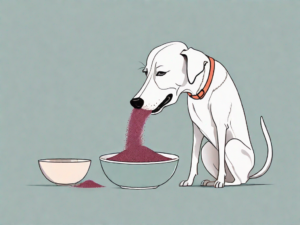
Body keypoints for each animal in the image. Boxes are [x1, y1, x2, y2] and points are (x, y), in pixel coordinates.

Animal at [130, 41, 274, 187]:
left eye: (161, 73)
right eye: (145, 73)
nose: (135, 102)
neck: (201, 90)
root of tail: (250, 173)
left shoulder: (221, 126)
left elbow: (220, 159)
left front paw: (219, 182)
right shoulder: (197, 129)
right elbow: (194, 157)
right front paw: (189, 181)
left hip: (231, 145)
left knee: (239, 180)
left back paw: (223, 182)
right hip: (207, 149)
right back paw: (211, 181)